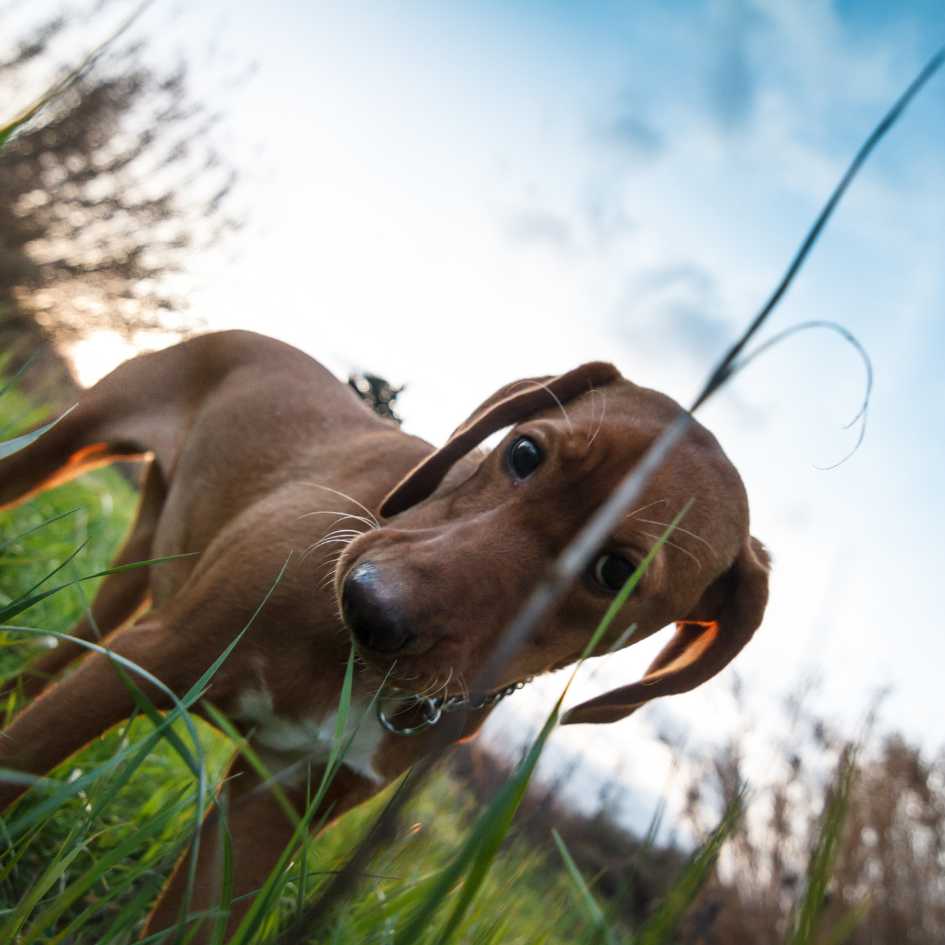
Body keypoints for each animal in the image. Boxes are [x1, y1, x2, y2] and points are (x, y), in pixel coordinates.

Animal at [0, 332, 768, 936]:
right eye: (524, 453)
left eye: (616, 571)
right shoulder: (152, 658)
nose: (369, 606)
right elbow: (17, 759)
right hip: (59, 450)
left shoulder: (272, 803)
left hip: (134, 572)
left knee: (48, 664)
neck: (358, 670)